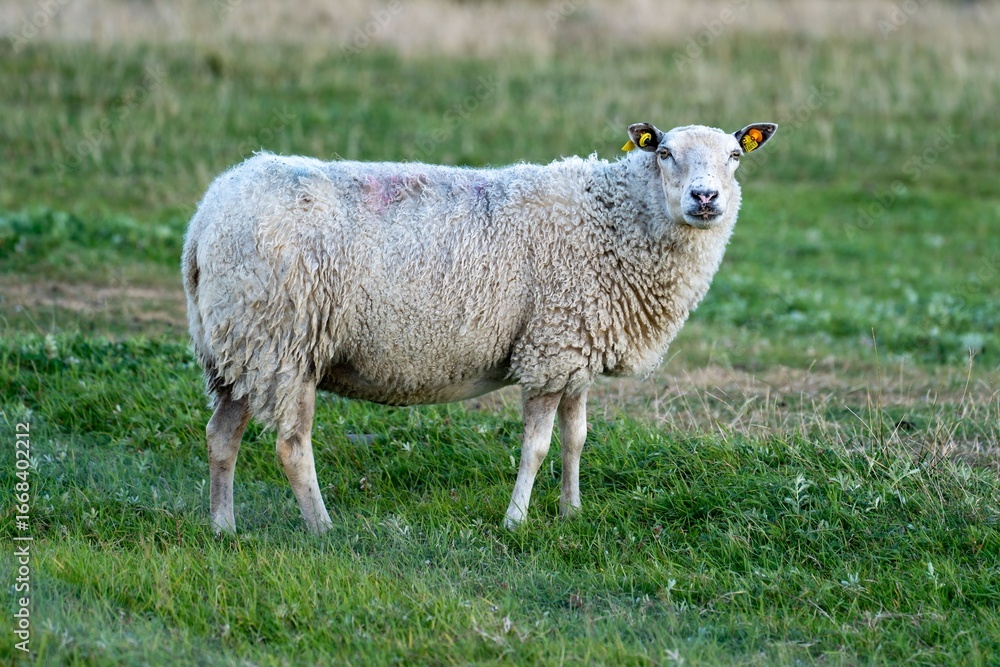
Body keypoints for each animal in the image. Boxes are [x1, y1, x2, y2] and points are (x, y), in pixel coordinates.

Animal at [182, 121, 777, 534]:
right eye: (664, 152)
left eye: (734, 156)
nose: (705, 198)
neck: (611, 219)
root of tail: (204, 218)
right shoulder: (549, 348)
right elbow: (537, 447)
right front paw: (516, 520)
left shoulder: (575, 349)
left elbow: (576, 439)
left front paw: (572, 511)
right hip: (281, 338)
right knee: (290, 444)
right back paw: (323, 528)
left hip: (239, 344)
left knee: (221, 435)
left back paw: (222, 527)